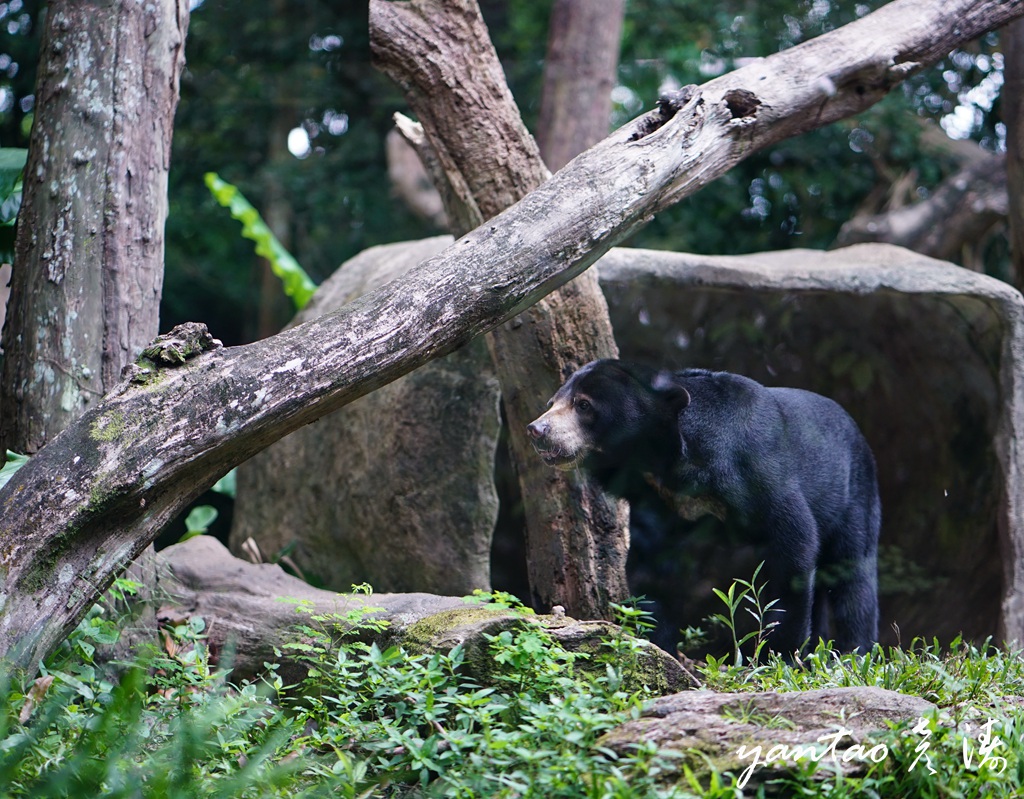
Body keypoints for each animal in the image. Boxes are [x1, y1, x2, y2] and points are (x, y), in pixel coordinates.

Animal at [528, 362, 880, 655]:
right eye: (551, 404)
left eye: (584, 405)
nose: (537, 430)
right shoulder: (659, 501)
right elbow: (651, 568)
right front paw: (659, 644)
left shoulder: (754, 471)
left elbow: (795, 544)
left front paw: (783, 654)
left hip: (854, 496)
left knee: (853, 577)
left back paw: (851, 654)